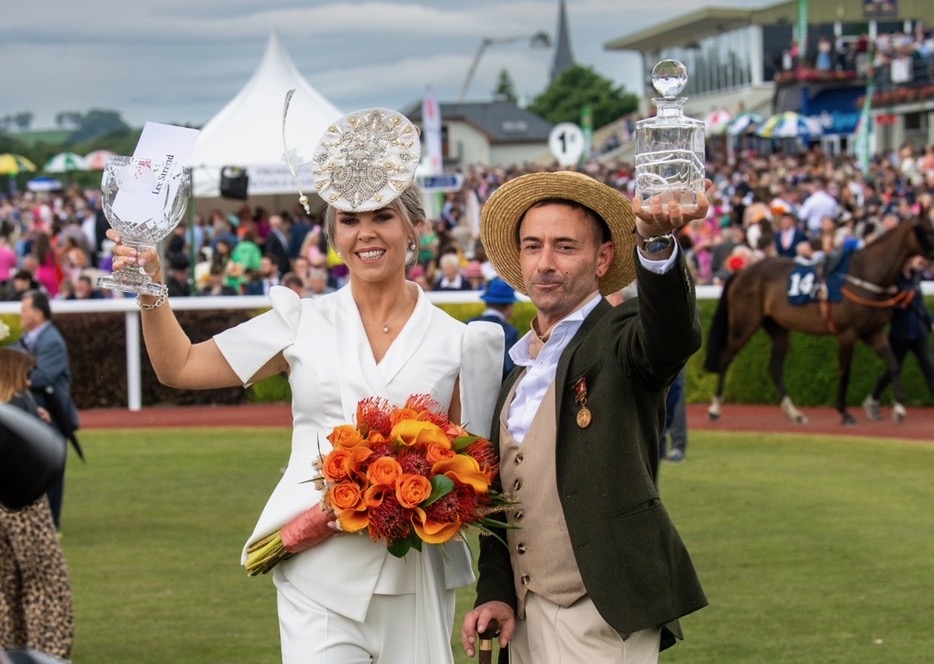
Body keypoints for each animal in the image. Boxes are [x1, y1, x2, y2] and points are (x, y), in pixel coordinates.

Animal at [704, 218, 934, 426]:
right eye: (928, 231)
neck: (866, 275)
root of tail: (740, 273)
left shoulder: (873, 333)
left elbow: (894, 364)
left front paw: (900, 409)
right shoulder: (847, 333)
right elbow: (845, 371)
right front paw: (844, 412)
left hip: (777, 327)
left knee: (775, 368)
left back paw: (795, 413)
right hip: (744, 325)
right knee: (726, 357)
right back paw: (714, 409)